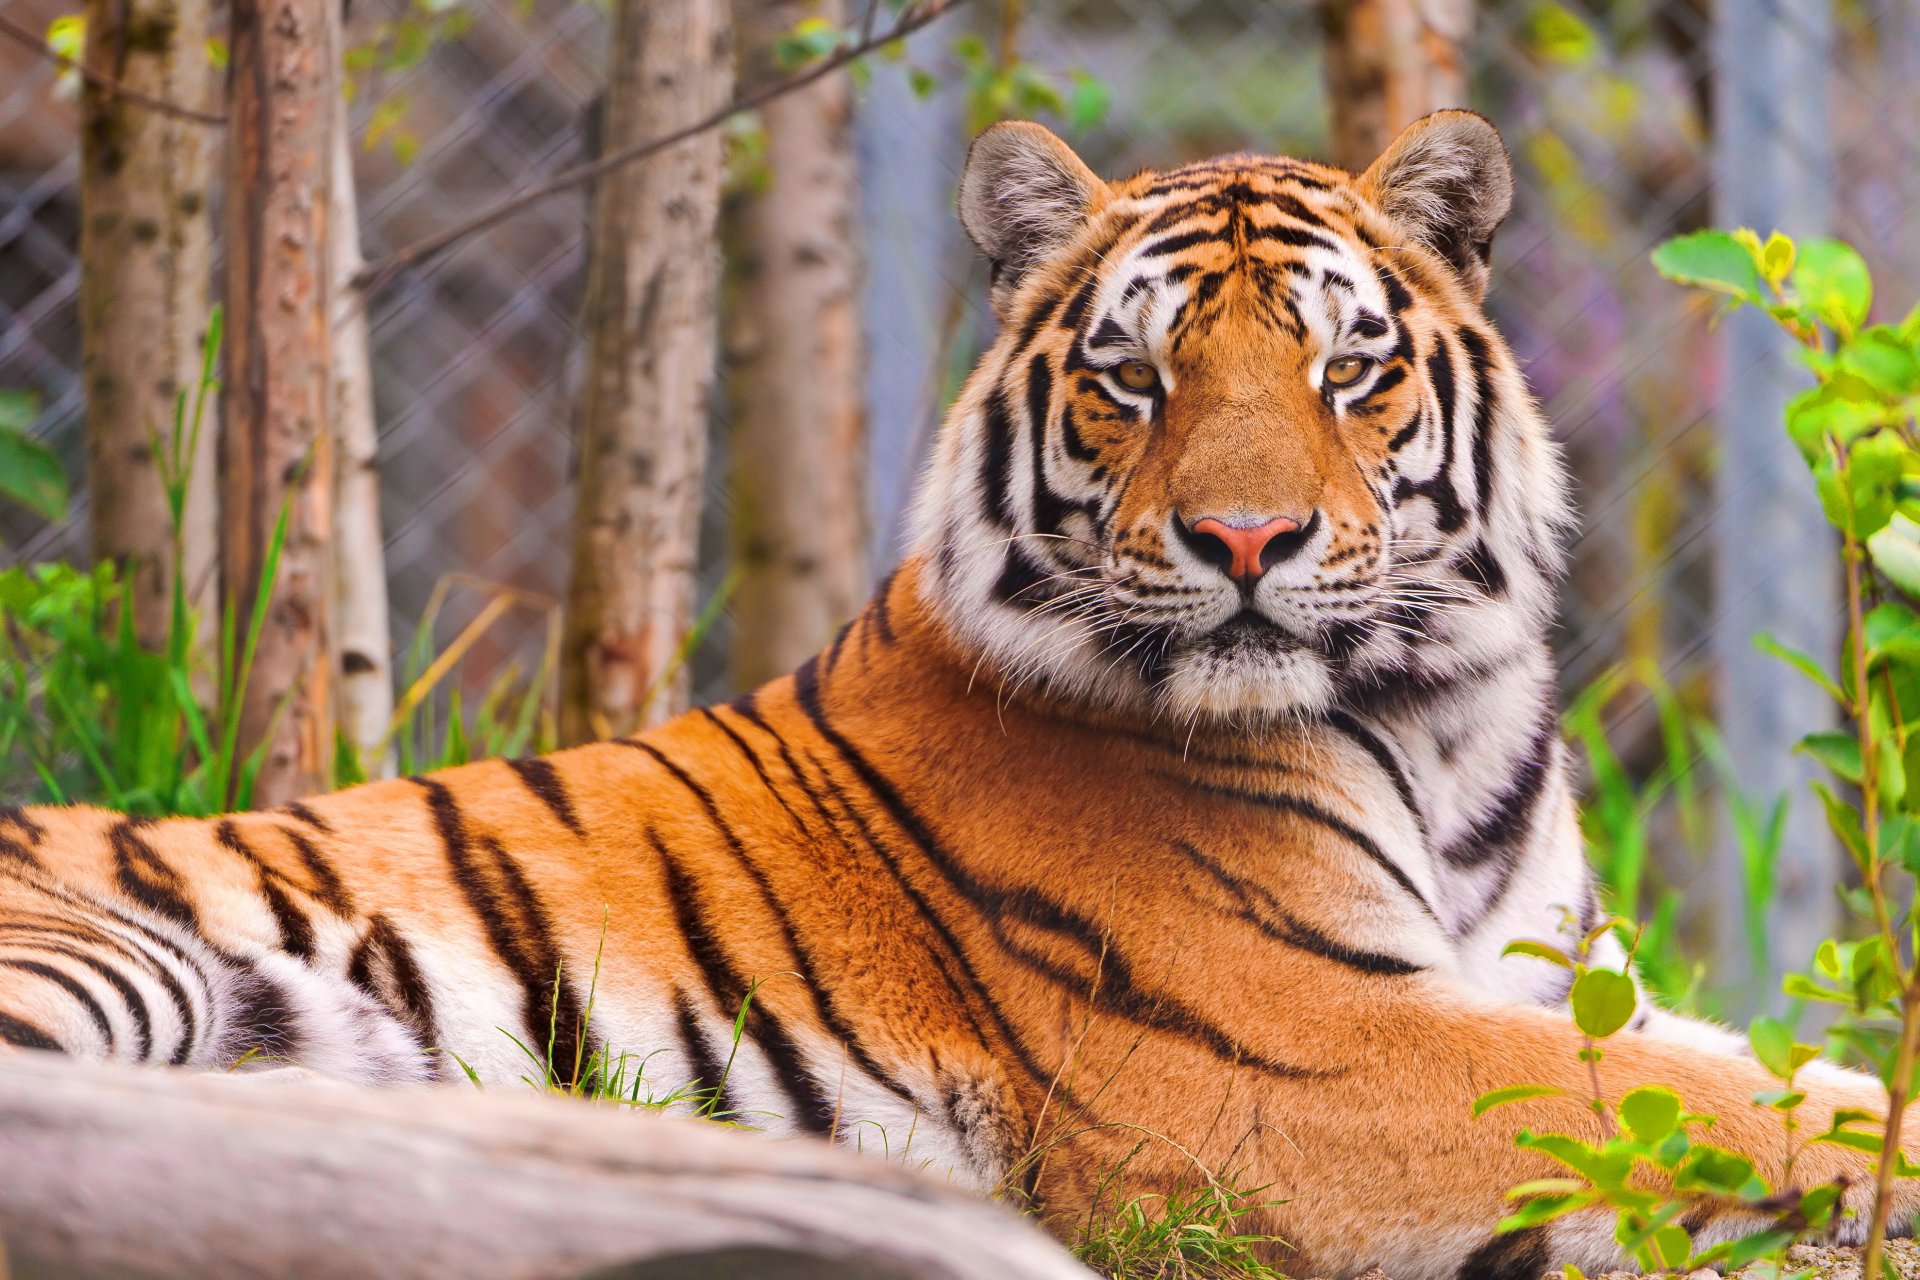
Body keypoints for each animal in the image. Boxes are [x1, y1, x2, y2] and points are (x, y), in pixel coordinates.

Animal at [0, 111, 1912, 1280]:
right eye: (1134, 379)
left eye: (1343, 370)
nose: (1245, 539)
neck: (1438, 724)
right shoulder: (1299, 1053)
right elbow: (1715, 1111)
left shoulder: (1547, 981)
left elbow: (1748, 1071)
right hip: (115, 957)